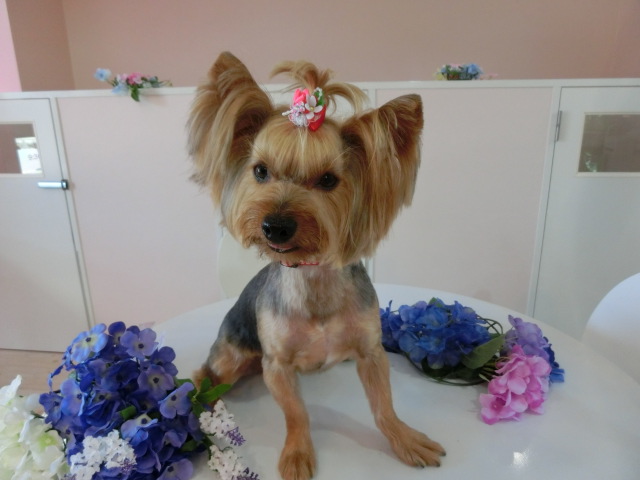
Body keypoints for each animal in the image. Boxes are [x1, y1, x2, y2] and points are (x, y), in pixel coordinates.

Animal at [188, 52, 445, 480]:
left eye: (328, 180)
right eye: (260, 171)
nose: (275, 225)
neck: (312, 275)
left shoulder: (371, 351)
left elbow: (383, 406)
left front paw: (405, 439)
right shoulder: (277, 365)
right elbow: (297, 414)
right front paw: (297, 453)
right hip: (231, 354)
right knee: (206, 374)